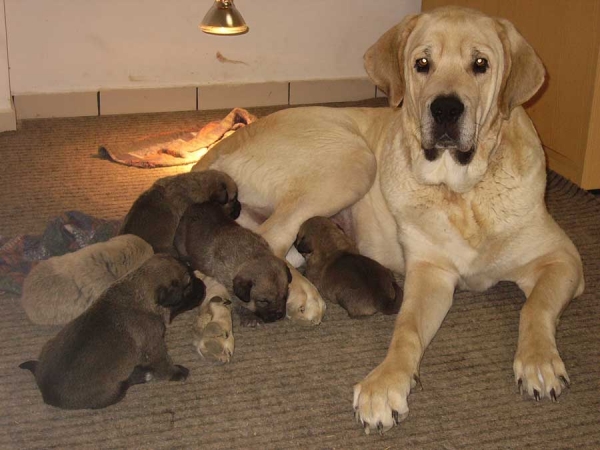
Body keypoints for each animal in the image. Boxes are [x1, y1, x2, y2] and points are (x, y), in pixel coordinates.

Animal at [18, 255, 206, 410]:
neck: (139, 291)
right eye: (188, 285)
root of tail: (46, 393)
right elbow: (164, 362)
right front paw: (176, 373)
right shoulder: (154, 345)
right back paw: (140, 374)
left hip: (49, 344)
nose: (204, 287)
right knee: (125, 384)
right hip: (113, 392)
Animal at [191, 6, 580, 436]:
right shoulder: (430, 273)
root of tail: (221, 146)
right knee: (262, 242)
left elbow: (536, 307)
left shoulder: (563, 259)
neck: (463, 193)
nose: (446, 109)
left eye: (481, 64)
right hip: (353, 159)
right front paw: (385, 384)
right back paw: (251, 313)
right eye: (422, 64)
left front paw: (539, 361)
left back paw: (254, 309)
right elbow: (406, 330)